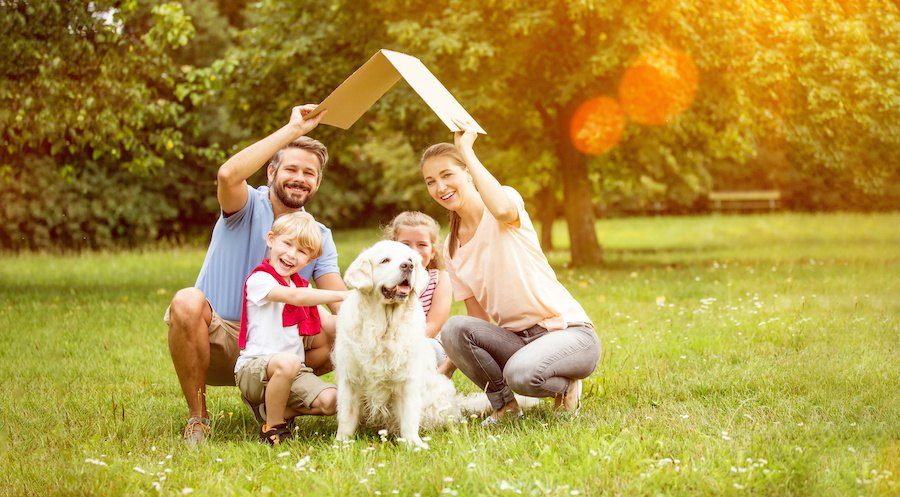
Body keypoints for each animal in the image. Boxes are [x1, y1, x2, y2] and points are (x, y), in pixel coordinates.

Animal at [334, 240, 460, 450]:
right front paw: (341, 444)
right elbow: (346, 417)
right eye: (385, 260)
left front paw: (413, 444)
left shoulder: (407, 380)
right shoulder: (350, 379)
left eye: (410, 259)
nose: (407, 266)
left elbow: (409, 417)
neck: (384, 327)